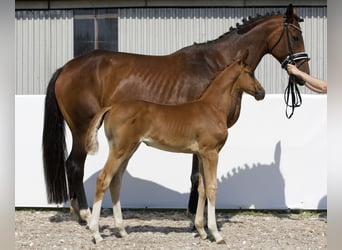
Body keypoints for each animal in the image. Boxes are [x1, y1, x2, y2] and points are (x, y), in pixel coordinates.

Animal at [85, 49, 264, 244]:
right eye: (250, 72)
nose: (261, 92)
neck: (212, 107)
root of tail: (111, 107)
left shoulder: (201, 154)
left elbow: (201, 188)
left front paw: (201, 231)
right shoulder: (211, 152)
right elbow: (211, 188)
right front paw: (216, 234)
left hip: (129, 149)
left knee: (116, 181)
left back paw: (122, 230)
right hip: (120, 149)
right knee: (103, 179)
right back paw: (96, 233)